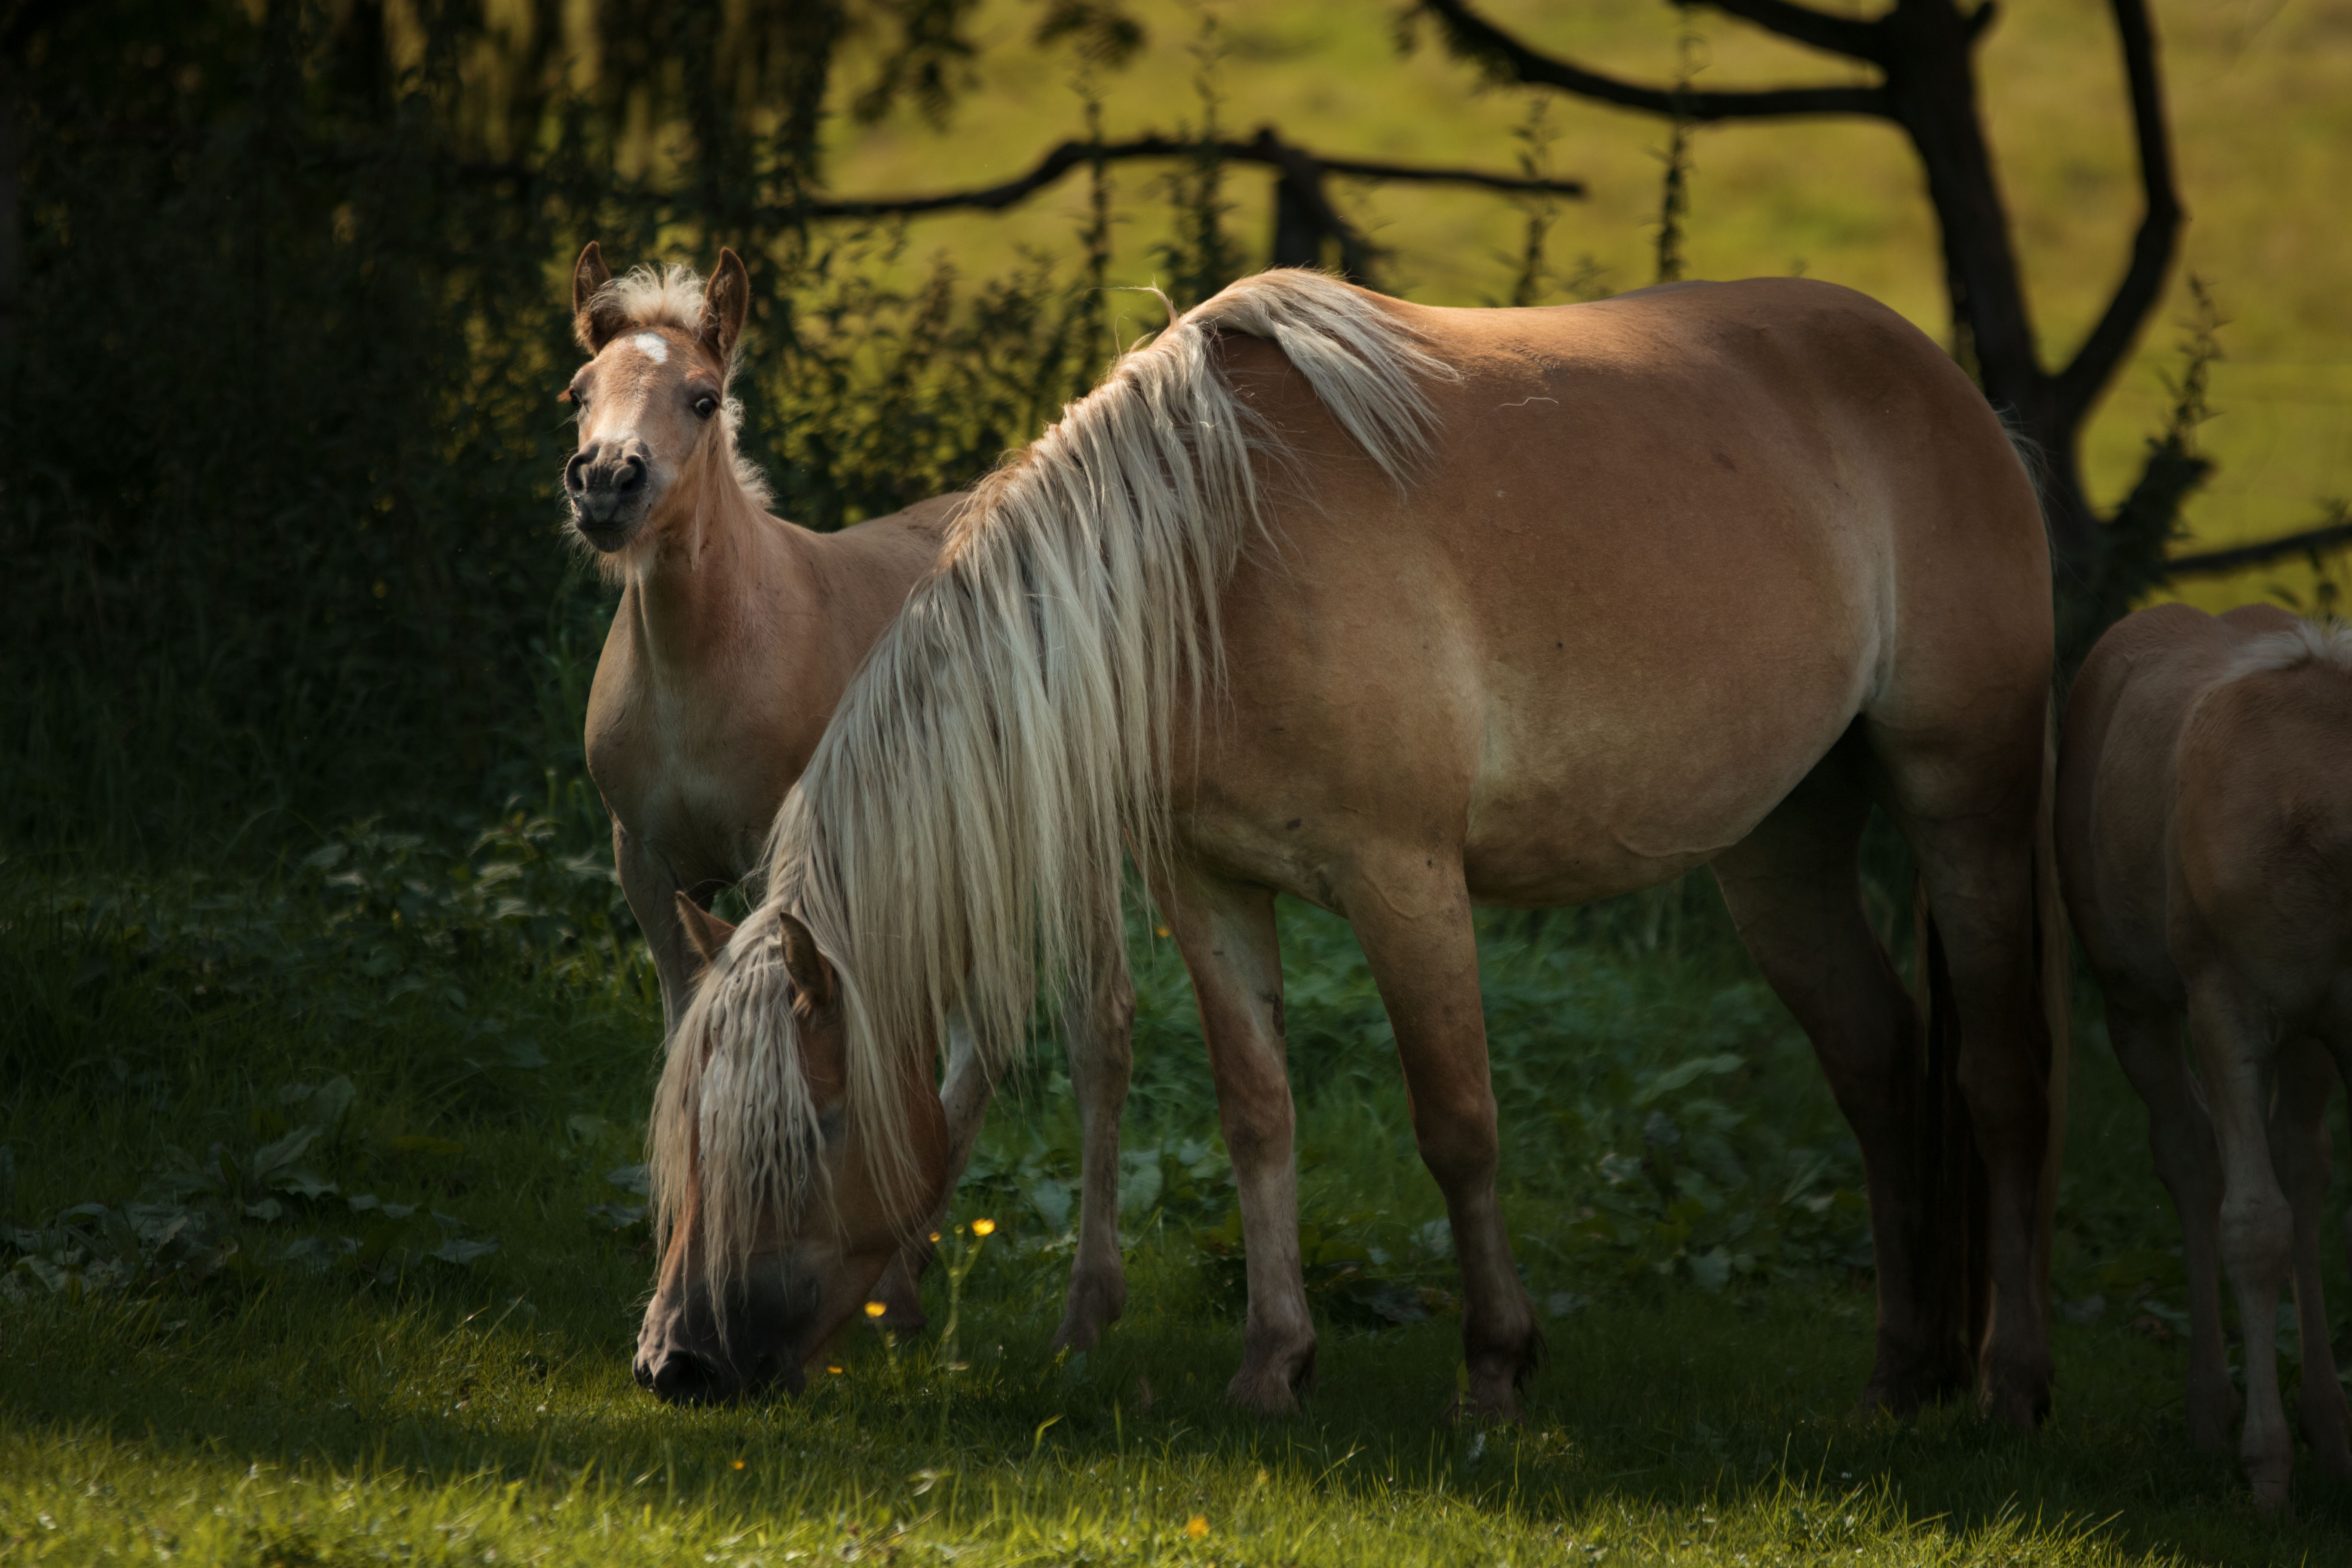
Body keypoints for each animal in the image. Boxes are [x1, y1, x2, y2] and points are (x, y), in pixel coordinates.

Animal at [550, 242, 1138, 1382]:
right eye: (577, 395)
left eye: (703, 398)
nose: (605, 482)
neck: (707, 658)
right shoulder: (647, 866)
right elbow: (692, 1032)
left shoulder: (782, 866)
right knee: (976, 1042)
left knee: (1094, 1036)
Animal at [635, 261, 2070, 1420]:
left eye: (797, 1142)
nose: (674, 1365)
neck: (1214, 562)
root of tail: (1951, 386)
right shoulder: (1209, 889)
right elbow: (1258, 1114)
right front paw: (1275, 1366)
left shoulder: (1407, 883)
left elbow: (1459, 1123)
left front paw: (1495, 1367)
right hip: (1781, 846)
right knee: (1880, 1068)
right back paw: (1900, 1376)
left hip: (1969, 799)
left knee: (2002, 1075)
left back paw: (2010, 1384)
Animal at [2060, 602, 2352, 1504]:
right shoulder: (2224, 1001)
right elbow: (2250, 1224)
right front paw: (2266, 1467)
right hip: (2133, 997)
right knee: (2189, 1156)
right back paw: (2210, 1412)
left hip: (2308, 1039)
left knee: (2302, 1163)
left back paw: (2328, 1420)